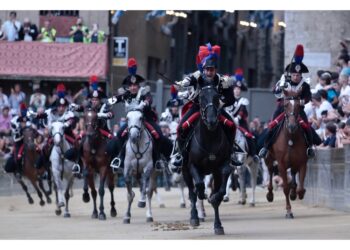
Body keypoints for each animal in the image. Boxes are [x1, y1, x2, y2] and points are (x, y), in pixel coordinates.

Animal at [123, 96, 155, 224]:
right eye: (127, 118)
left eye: (141, 117)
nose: (133, 136)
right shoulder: (127, 169)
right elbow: (129, 193)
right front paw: (127, 216)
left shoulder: (148, 167)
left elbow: (145, 189)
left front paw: (141, 201)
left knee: (149, 192)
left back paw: (149, 215)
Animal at [182, 85, 234, 235]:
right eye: (201, 98)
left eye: (217, 97)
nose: (211, 121)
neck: (210, 139)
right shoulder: (192, 166)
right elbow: (198, 186)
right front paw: (202, 195)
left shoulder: (221, 167)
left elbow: (220, 191)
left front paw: (214, 197)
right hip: (184, 171)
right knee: (192, 192)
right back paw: (194, 217)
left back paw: (218, 224)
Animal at [264, 89, 308, 218]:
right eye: (285, 105)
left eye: (299, 106)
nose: (292, 126)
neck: (290, 137)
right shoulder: (281, 164)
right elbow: (285, 188)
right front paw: (289, 211)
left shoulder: (302, 162)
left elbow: (300, 188)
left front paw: (298, 194)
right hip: (269, 159)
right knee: (270, 172)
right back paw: (270, 195)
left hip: (293, 163)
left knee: (293, 175)